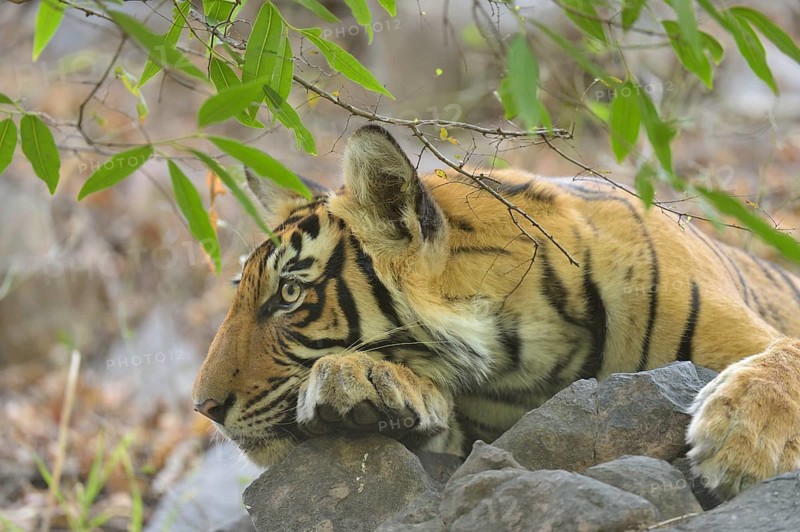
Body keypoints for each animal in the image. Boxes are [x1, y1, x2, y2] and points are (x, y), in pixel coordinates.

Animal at [192, 124, 800, 499]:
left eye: (289, 296)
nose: (203, 408)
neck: (527, 350)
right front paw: (367, 385)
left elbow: (781, 360)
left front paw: (741, 446)